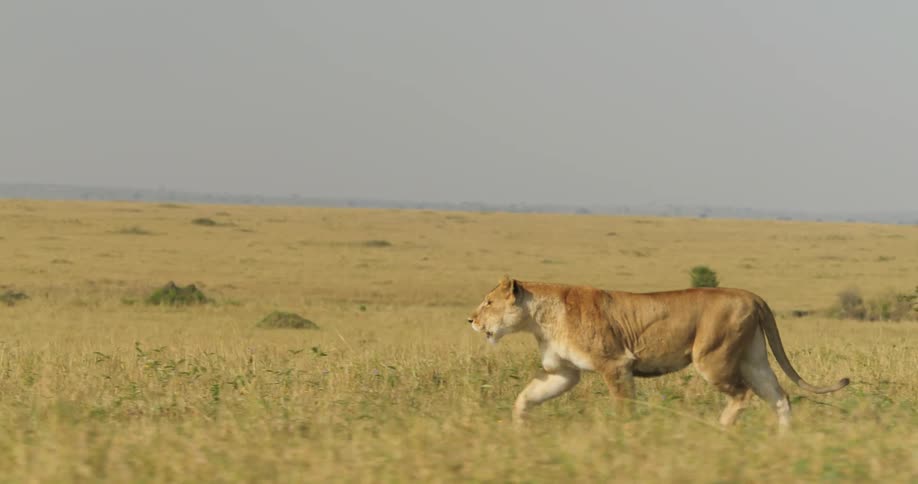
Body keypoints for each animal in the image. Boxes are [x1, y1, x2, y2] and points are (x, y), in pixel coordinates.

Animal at [467, 276, 849, 431]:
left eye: (487, 302)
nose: (470, 319)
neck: (539, 319)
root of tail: (752, 295)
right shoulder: (563, 372)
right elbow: (527, 397)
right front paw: (519, 428)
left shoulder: (616, 364)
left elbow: (623, 408)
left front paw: (624, 437)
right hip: (753, 359)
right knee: (780, 397)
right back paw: (784, 440)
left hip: (712, 358)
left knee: (742, 395)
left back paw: (720, 430)